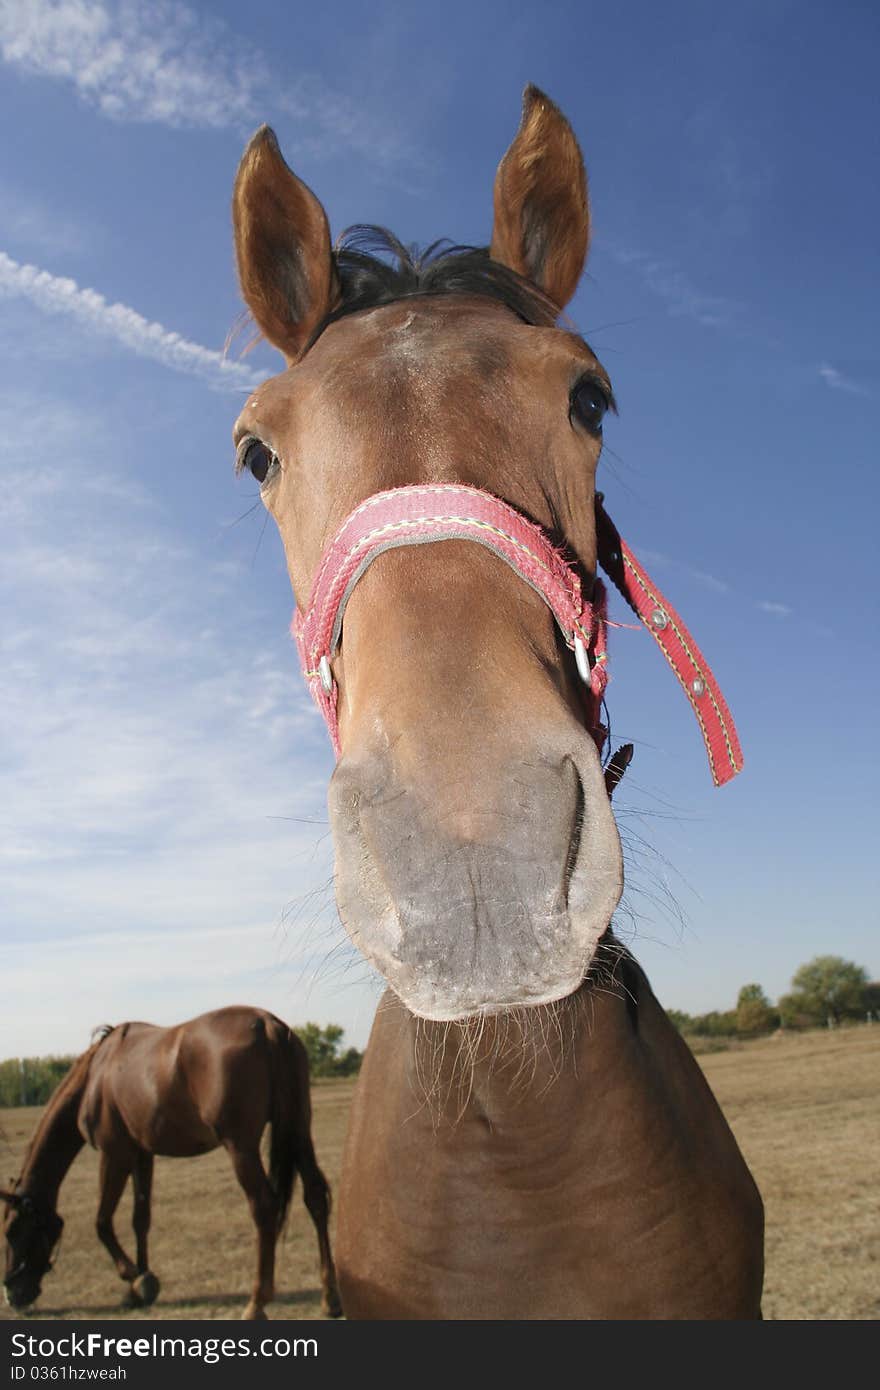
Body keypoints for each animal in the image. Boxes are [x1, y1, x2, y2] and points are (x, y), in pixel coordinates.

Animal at [0, 1006, 339, 1317]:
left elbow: (102, 1221)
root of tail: (267, 1025)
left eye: (12, 1231)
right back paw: (330, 1298)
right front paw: (141, 1284)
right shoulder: (142, 1154)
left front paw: (133, 1276)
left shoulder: (115, 1153)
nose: (12, 1295)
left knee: (264, 1208)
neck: (95, 1077)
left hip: (241, 1147)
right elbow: (140, 1219)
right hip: (298, 1130)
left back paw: (256, 1303)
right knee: (315, 1197)